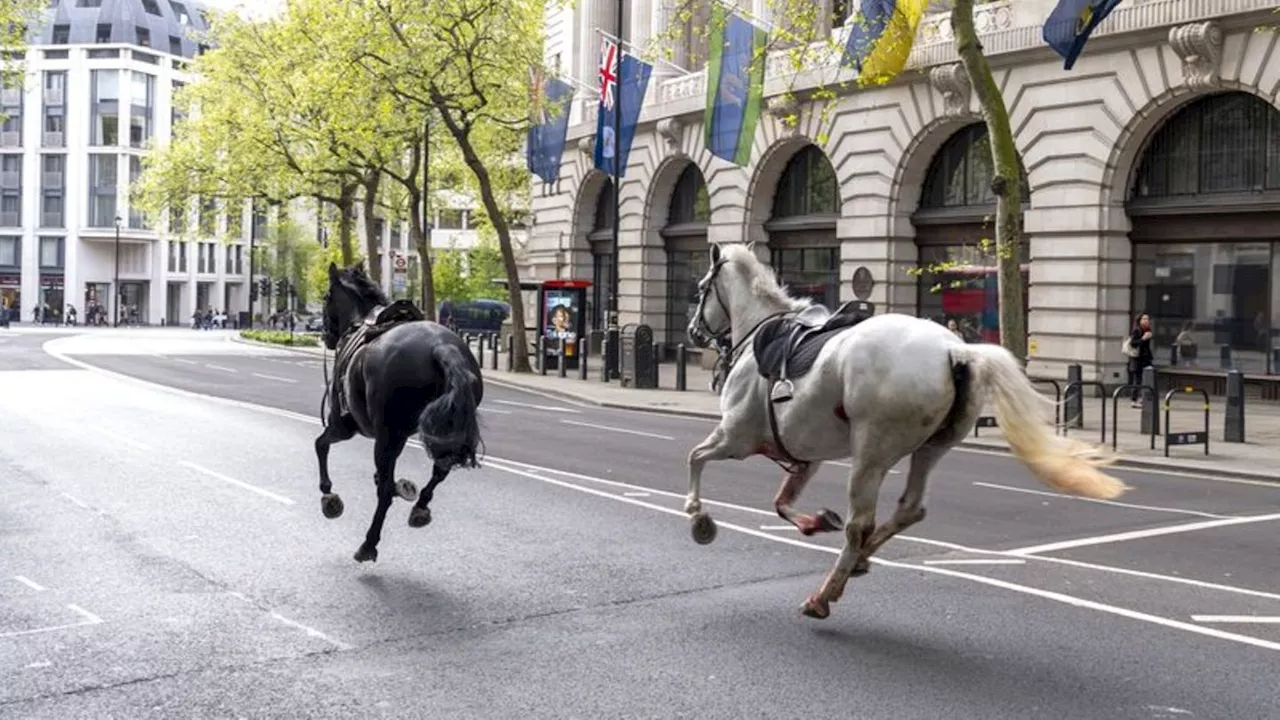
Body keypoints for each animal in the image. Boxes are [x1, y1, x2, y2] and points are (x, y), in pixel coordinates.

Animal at [317, 262, 481, 561]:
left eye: (326, 297)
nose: (327, 336)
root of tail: (442, 347)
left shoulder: (343, 426)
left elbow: (320, 445)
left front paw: (328, 495)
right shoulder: (401, 434)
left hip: (384, 436)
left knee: (383, 493)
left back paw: (368, 544)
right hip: (442, 429)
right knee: (441, 469)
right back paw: (420, 506)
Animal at [686, 240, 1126, 617]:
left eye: (701, 289)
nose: (692, 332)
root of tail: (957, 349)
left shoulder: (736, 437)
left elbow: (696, 457)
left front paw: (698, 517)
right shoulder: (804, 453)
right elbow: (781, 501)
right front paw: (815, 521)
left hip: (870, 453)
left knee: (860, 524)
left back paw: (825, 594)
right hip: (931, 447)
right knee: (909, 509)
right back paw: (859, 561)